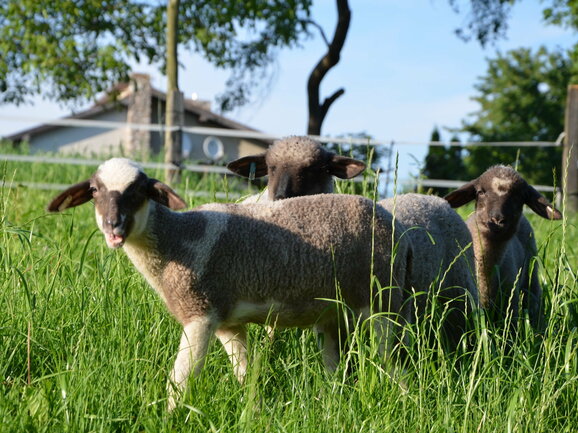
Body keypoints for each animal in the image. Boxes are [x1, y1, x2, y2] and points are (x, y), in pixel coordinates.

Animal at [47, 157, 412, 410]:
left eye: (139, 190)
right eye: (94, 191)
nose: (114, 226)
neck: (175, 241)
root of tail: (387, 217)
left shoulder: (200, 314)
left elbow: (179, 383)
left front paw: (167, 418)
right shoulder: (227, 323)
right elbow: (244, 375)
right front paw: (256, 410)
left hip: (383, 301)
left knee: (395, 361)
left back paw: (407, 401)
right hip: (334, 313)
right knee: (338, 368)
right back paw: (334, 403)